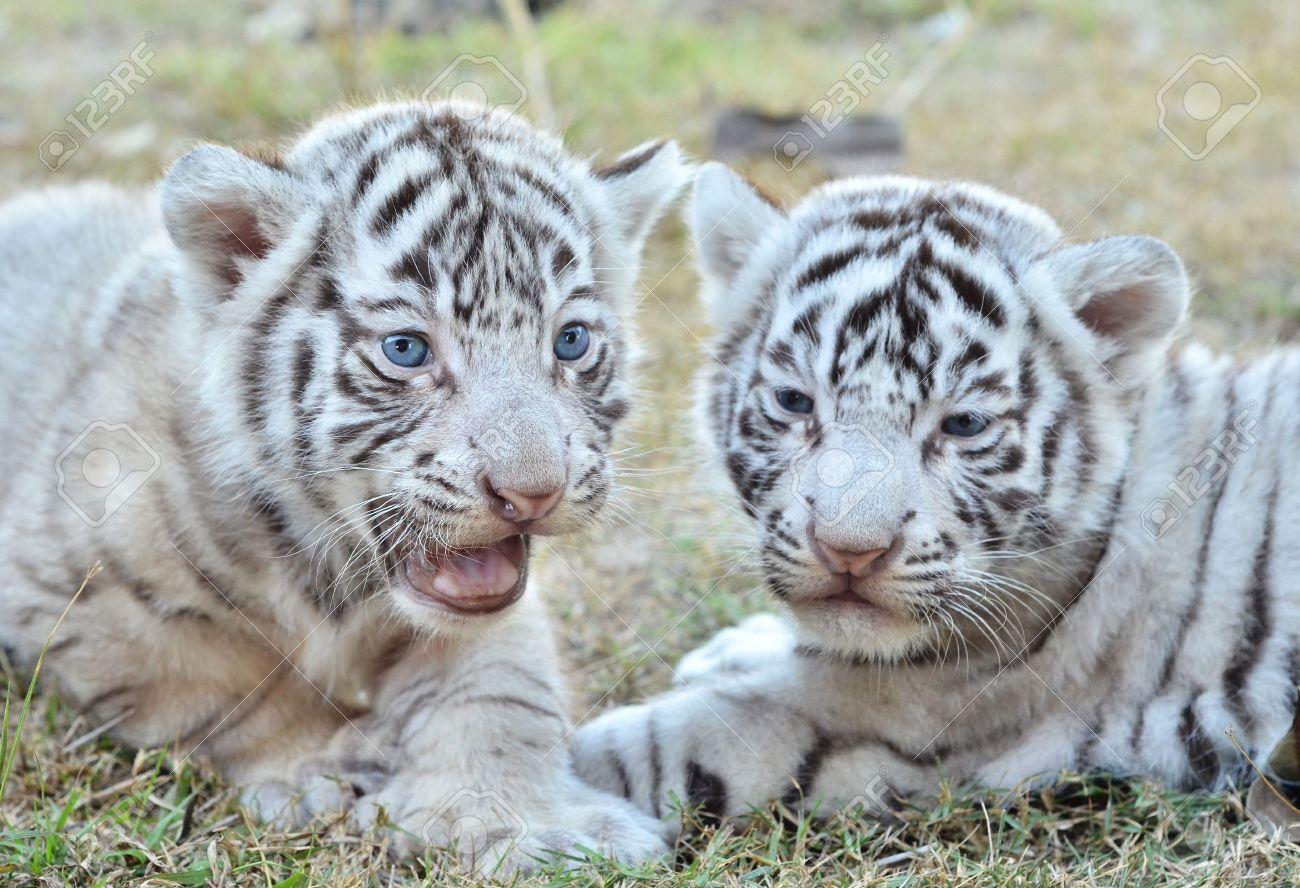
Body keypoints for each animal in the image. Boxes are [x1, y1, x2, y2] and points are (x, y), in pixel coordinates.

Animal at [0, 99, 691, 872]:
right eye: (406, 350)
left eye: (570, 341)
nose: (532, 493)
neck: (331, 566)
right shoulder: (72, 591)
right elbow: (228, 678)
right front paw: (316, 765)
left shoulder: (492, 616)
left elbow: (502, 694)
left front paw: (535, 825)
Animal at [571, 163, 1300, 828]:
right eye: (794, 402)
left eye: (964, 425)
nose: (849, 552)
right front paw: (731, 645)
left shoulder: (893, 721)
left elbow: (647, 748)